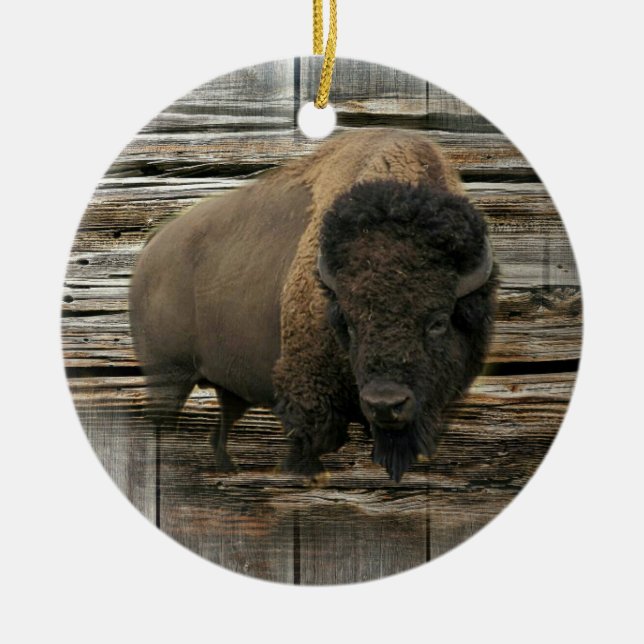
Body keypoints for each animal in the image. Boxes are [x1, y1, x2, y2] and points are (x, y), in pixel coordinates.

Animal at [129, 128, 497, 482]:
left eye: (438, 322)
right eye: (348, 322)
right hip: (168, 378)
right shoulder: (309, 399)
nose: (385, 404)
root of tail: (151, 248)